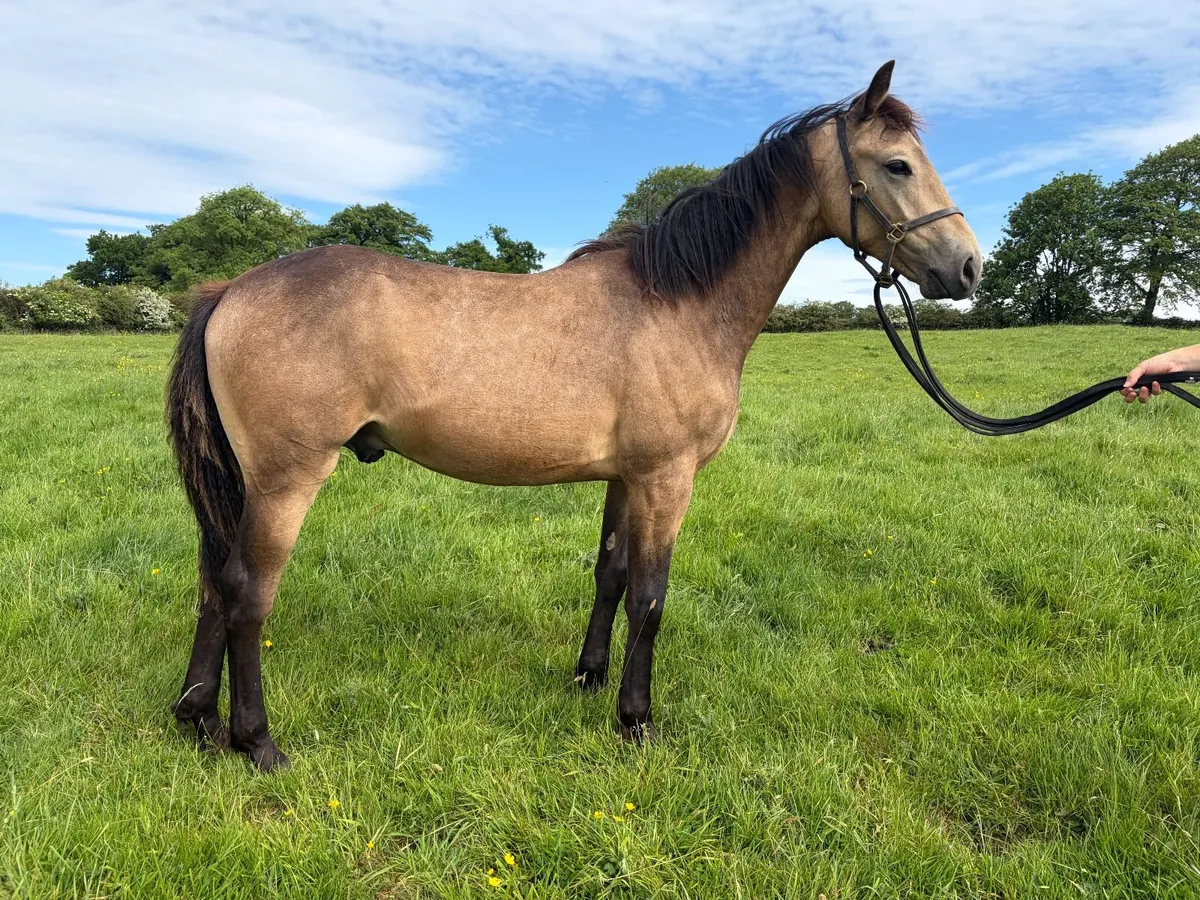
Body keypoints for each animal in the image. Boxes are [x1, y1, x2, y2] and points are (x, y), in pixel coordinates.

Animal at [167, 60, 981, 771]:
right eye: (898, 166)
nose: (968, 267)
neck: (678, 302)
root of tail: (231, 291)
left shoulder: (626, 478)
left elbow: (611, 576)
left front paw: (588, 679)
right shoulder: (667, 479)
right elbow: (651, 598)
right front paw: (636, 720)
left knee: (215, 581)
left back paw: (196, 717)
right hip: (287, 480)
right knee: (249, 594)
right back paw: (257, 742)